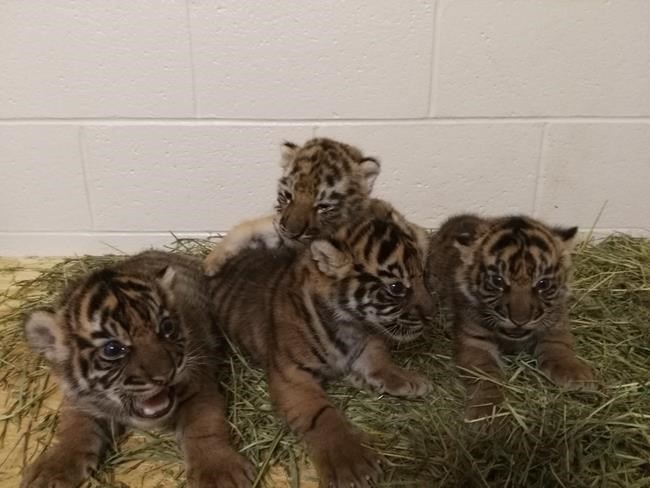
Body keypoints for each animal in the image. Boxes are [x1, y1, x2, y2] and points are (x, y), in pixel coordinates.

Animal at [21, 251, 253, 488]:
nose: (165, 375)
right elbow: (73, 429)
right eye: (113, 349)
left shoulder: (198, 383)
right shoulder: (80, 401)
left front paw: (219, 472)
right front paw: (52, 470)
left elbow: (204, 426)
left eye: (167, 327)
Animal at [203, 137, 381, 276]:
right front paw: (211, 262)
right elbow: (248, 227)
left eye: (323, 206)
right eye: (288, 196)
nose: (290, 232)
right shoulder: (276, 224)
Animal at [208, 199, 434, 488]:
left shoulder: (367, 341)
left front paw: (405, 379)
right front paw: (351, 462)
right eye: (396, 287)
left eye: (423, 274)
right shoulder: (292, 375)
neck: (350, 324)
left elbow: (379, 359)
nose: (431, 314)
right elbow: (323, 415)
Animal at [426, 214, 596, 420]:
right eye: (498, 281)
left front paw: (577, 375)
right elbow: (486, 375)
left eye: (542, 283)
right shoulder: (474, 341)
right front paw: (487, 413)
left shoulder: (556, 326)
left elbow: (559, 349)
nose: (520, 320)